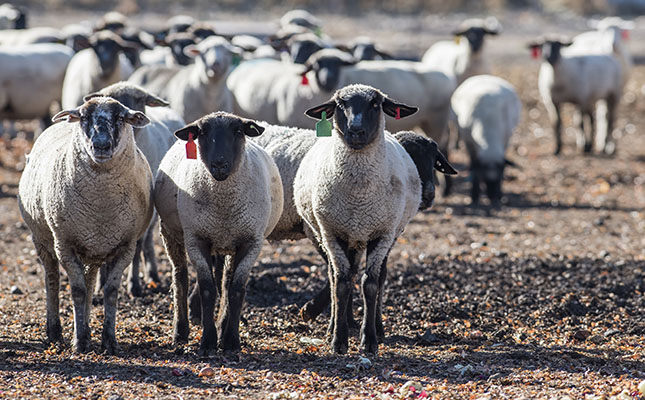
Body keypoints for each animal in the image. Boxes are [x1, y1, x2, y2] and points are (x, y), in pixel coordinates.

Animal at [17, 97, 152, 354]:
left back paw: (87, 328)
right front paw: (79, 342)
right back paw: (55, 332)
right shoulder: (64, 244)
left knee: (90, 281)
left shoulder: (126, 246)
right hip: (42, 239)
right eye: (84, 117)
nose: (101, 145)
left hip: (93, 248)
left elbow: (110, 291)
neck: (100, 207)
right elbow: (77, 291)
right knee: (52, 279)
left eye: (120, 118)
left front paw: (109, 341)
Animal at [83, 80, 182, 296]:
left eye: (140, 99)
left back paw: (152, 275)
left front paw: (134, 285)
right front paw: (99, 287)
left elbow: (136, 246)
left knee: (147, 241)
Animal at [155, 111, 284, 354]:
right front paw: (207, 342)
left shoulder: (251, 241)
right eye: (202, 132)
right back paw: (180, 331)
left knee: (225, 281)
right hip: (171, 232)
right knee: (180, 277)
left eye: (239, 131)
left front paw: (231, 341)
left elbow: (235, 290)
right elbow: (207, 289)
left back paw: (223, 328)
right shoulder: (196, 238)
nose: (220, 165)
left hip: (229, 241)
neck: (223, 205)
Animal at [290, 83, 418, 354]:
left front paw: (369, 340)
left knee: (379, 277)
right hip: (336, 235)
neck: (359, 197)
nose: (356, 131)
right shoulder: (331, 232)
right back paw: (335, 326)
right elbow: (341, 283)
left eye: (375, 104)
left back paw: (375, 328)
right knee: (337, 275)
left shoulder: (382, 233)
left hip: (380, 235)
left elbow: (370, 284)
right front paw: (339, 341)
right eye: (340, 105)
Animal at [450, 74, 520, 206]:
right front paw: (474, 196)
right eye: (483, 171)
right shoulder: (469, 143)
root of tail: (484, 76)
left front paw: (499, 195)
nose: (492, 196)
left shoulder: (505, 140)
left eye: (501, 169)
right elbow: (474, 167)